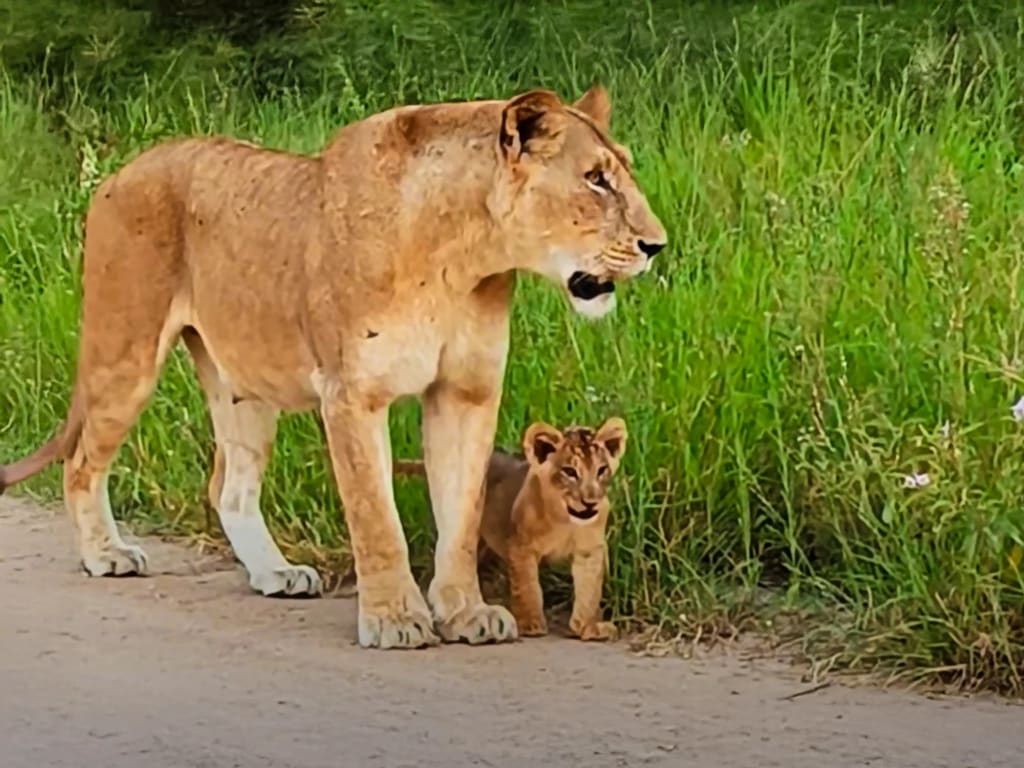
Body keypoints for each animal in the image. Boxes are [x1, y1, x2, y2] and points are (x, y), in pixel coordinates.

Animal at [393, 416, 627, 641]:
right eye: (569, 472)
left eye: (601, 470)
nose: (590, 502)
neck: (567, 520)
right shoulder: (521, 547)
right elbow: (528, 588)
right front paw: (532, 625)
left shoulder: (589, 552)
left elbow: (589, 592)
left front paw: (587, 627)